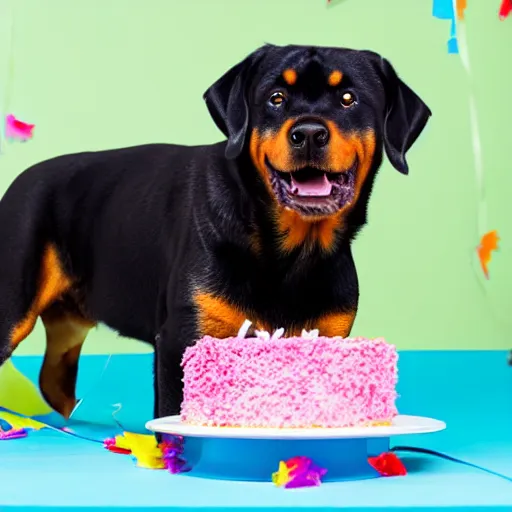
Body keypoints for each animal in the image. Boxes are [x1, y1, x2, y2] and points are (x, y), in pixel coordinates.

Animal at [0, 44, 430, 420]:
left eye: (348, 99)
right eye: (275, 98)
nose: (309, 133)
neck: (290, 253)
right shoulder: (182, 339)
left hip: (70, 323)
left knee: (54, 378)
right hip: (13, 303)